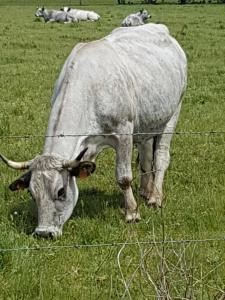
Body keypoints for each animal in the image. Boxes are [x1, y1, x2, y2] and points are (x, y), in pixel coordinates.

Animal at [0, 22, 186, 239]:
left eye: (61, 191)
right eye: (31, 193)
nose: (43, 233)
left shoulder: (124, 132)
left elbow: (124, 177)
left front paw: (132, 212)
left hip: (173, 113)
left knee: (161, 157)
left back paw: (155, 197)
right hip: (148, 123)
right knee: (147, 159)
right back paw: (146, 191)